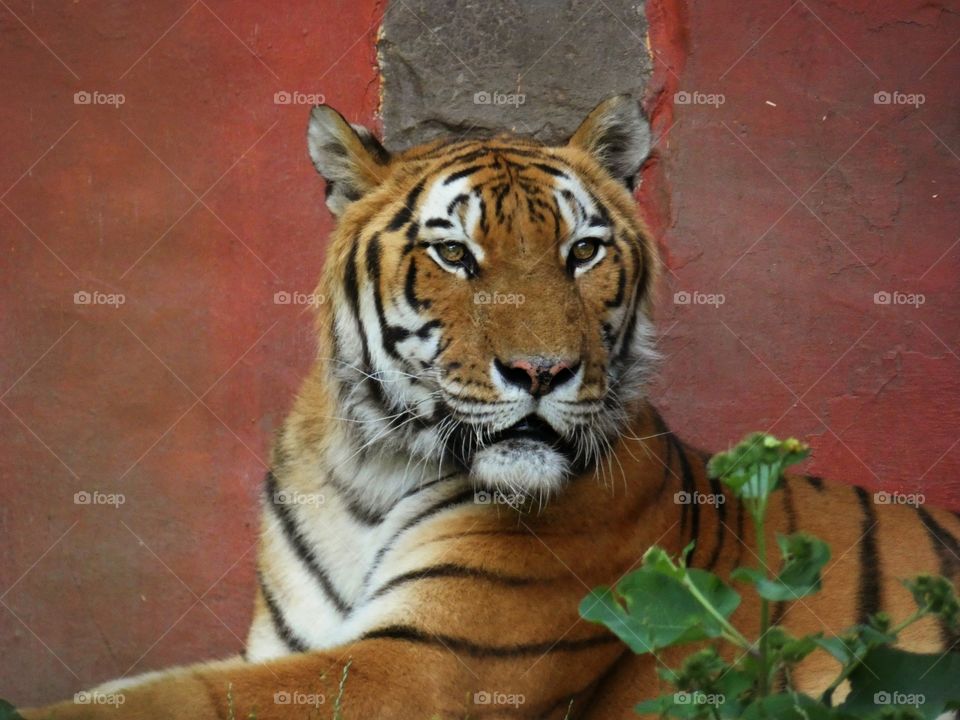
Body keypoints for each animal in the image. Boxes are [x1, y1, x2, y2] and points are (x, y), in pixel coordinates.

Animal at [20, 94, 960, 720]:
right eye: (455, 255)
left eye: (583, 253)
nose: (542, 371)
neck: (369, 468)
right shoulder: (300, 648)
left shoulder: (427, 664)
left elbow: (165, 700)